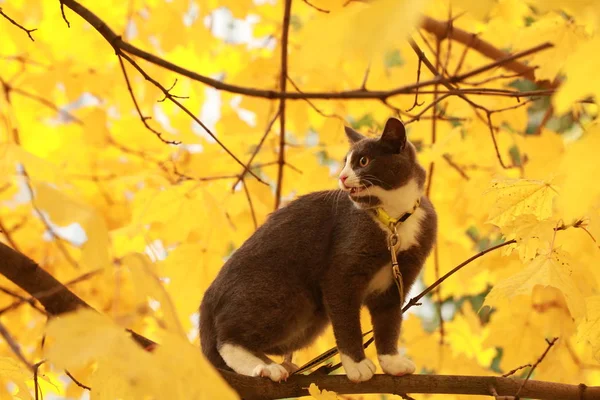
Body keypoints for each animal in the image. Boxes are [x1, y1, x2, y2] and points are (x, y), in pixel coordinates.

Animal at [199, 118, 438, 384]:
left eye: (363, 161)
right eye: (346, 161)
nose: (342, 177)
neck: (394, 219)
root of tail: (207, 304)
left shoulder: (400, 276)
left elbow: (389, 320)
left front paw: (392, 362)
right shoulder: (342, 267)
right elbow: (346, 320)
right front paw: (356, 365)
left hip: (309, 320)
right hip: (283, 292)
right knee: (228, 338)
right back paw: (267, 368)